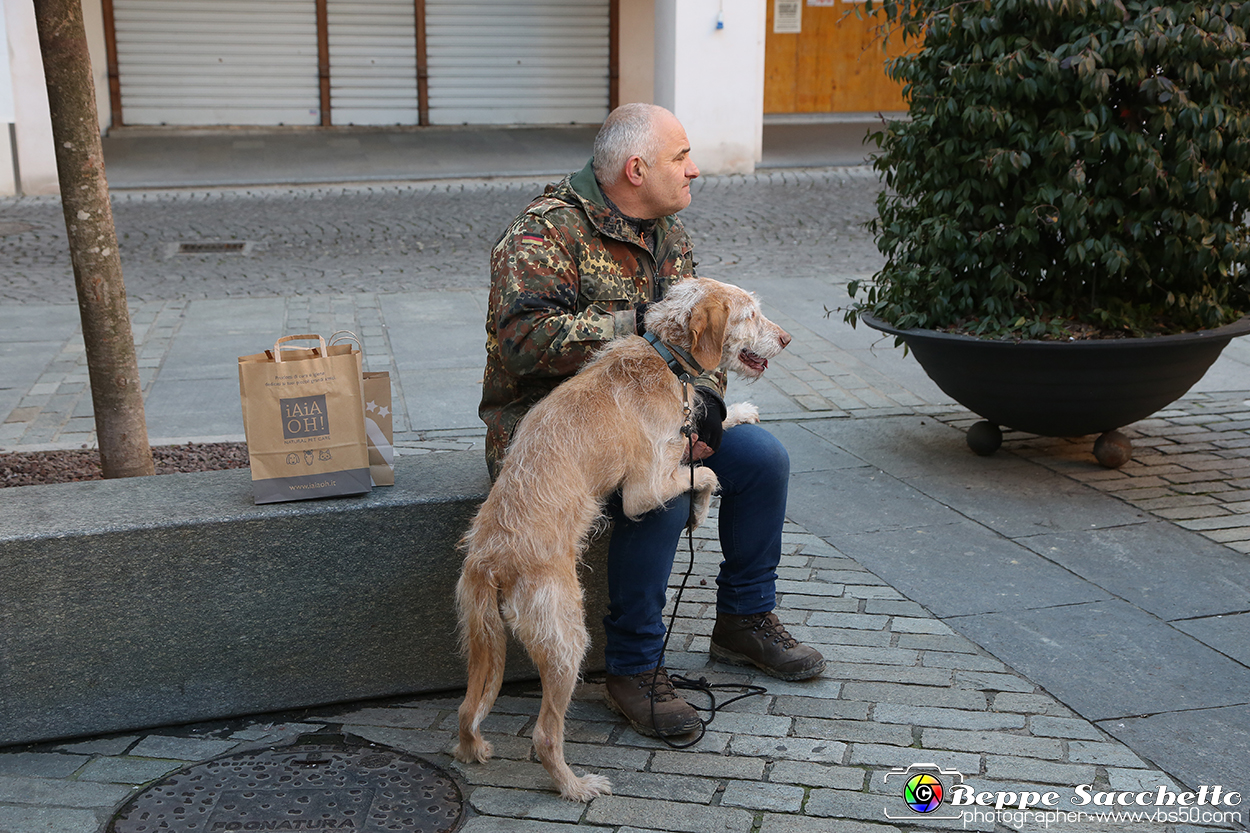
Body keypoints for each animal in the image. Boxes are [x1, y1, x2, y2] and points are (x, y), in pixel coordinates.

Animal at [457, 273, 790, 800]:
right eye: (750, 314)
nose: (787, 339)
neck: (664, 355)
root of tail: (492, 560)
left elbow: (709, 436)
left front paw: (737, 411)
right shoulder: (644, 490)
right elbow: (707, 473)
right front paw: (699, 510)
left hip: (481, 639)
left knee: (468, 711)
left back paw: (475, 750)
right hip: (566, 638)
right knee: (545, 734)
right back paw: (576, 786)